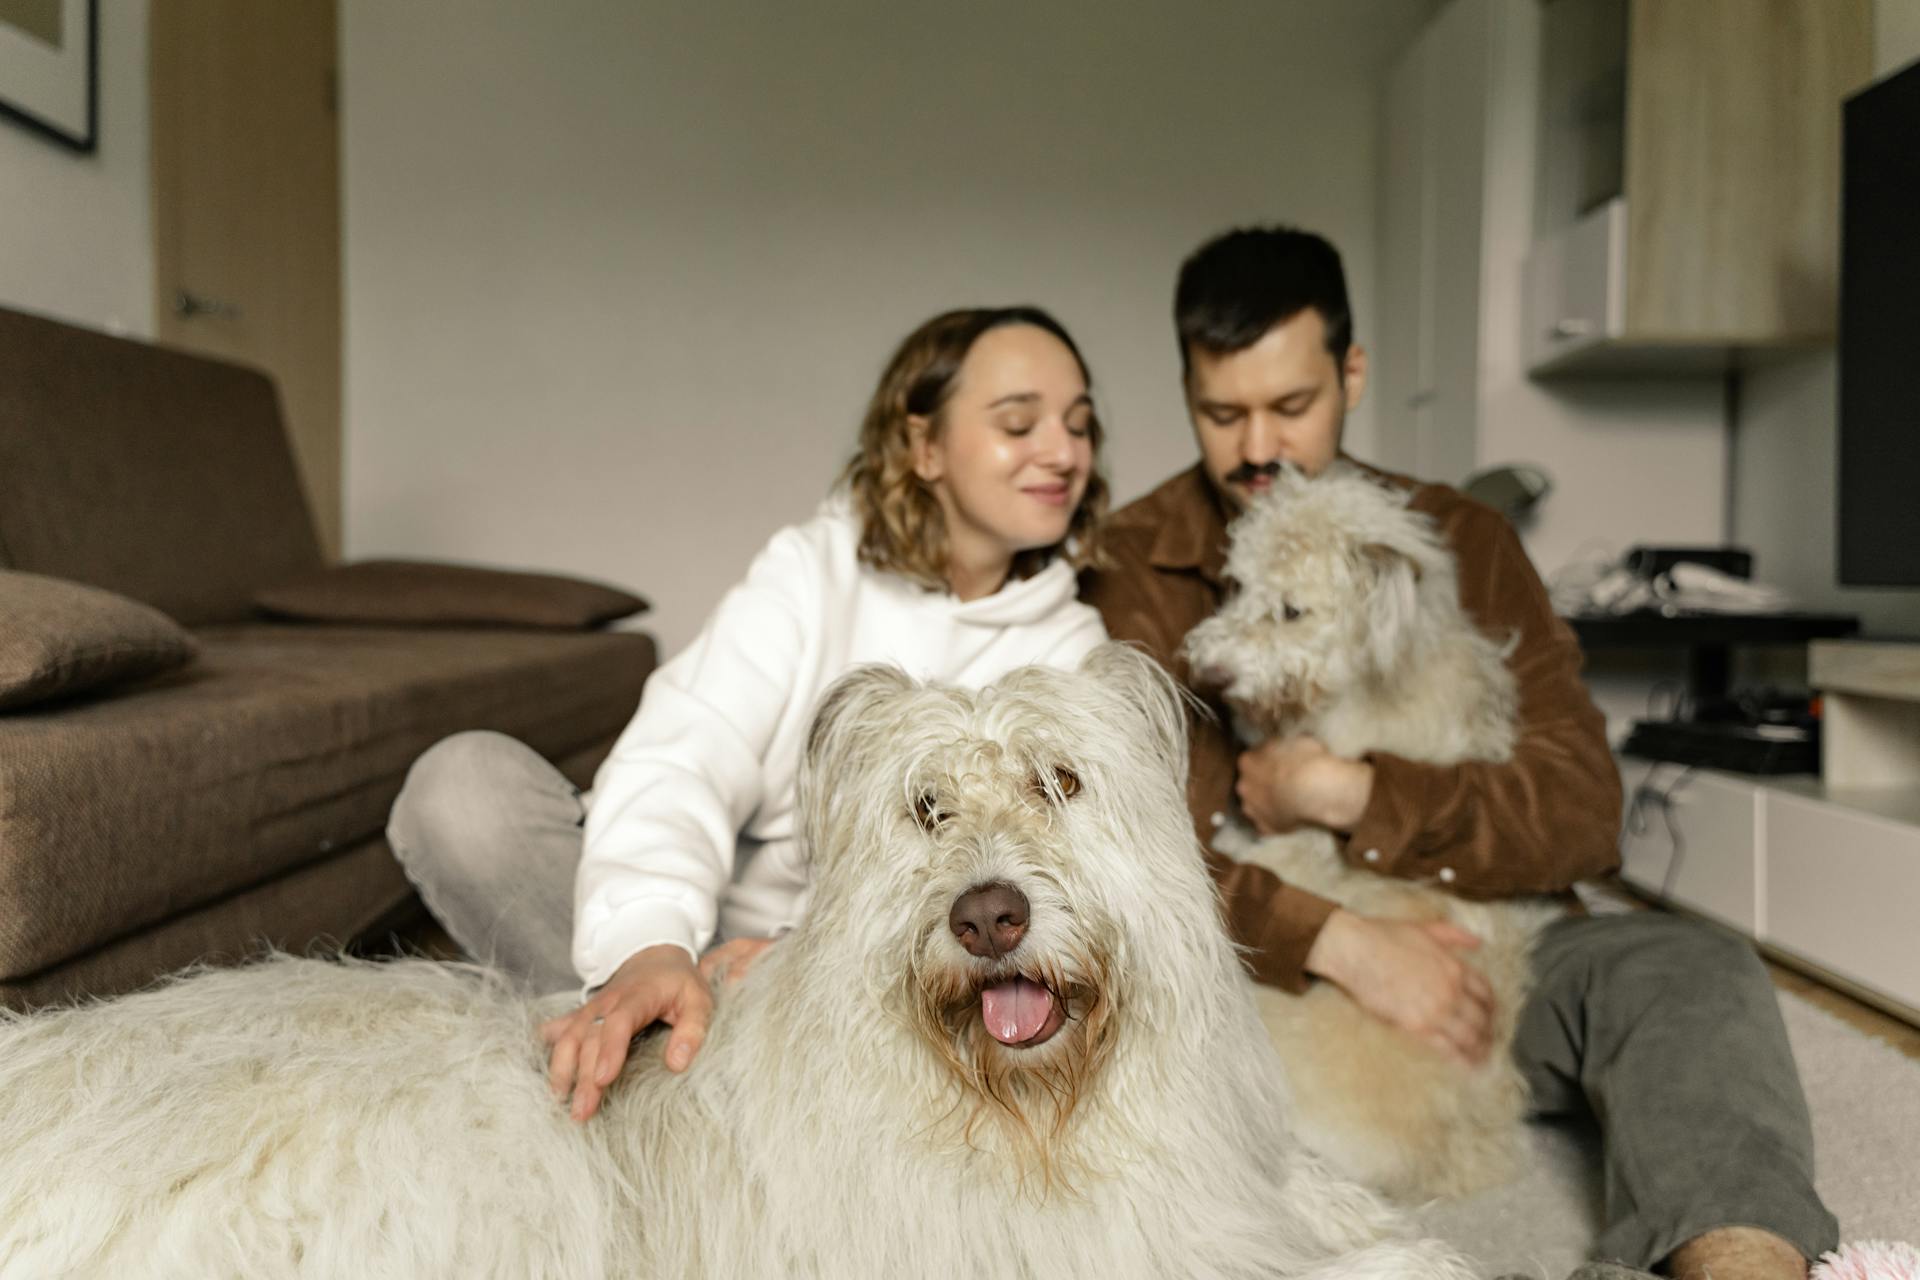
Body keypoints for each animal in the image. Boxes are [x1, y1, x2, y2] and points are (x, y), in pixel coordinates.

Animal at [0, 644, 1482, 1280]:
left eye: (1060, 781)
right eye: (925, 808)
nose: (989, 918)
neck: (1026, 1114)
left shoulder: (1209, 1183)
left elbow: (1328, 1206)